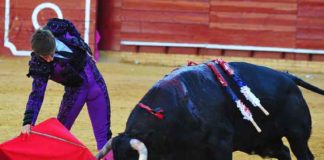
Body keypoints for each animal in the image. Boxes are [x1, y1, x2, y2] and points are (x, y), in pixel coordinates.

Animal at [97, 61, 324, 160]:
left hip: (297, 134)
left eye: (132, 158)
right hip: (263, 141)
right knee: (283, 152)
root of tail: (288, 77)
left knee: (303, 155)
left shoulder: (221, 144)